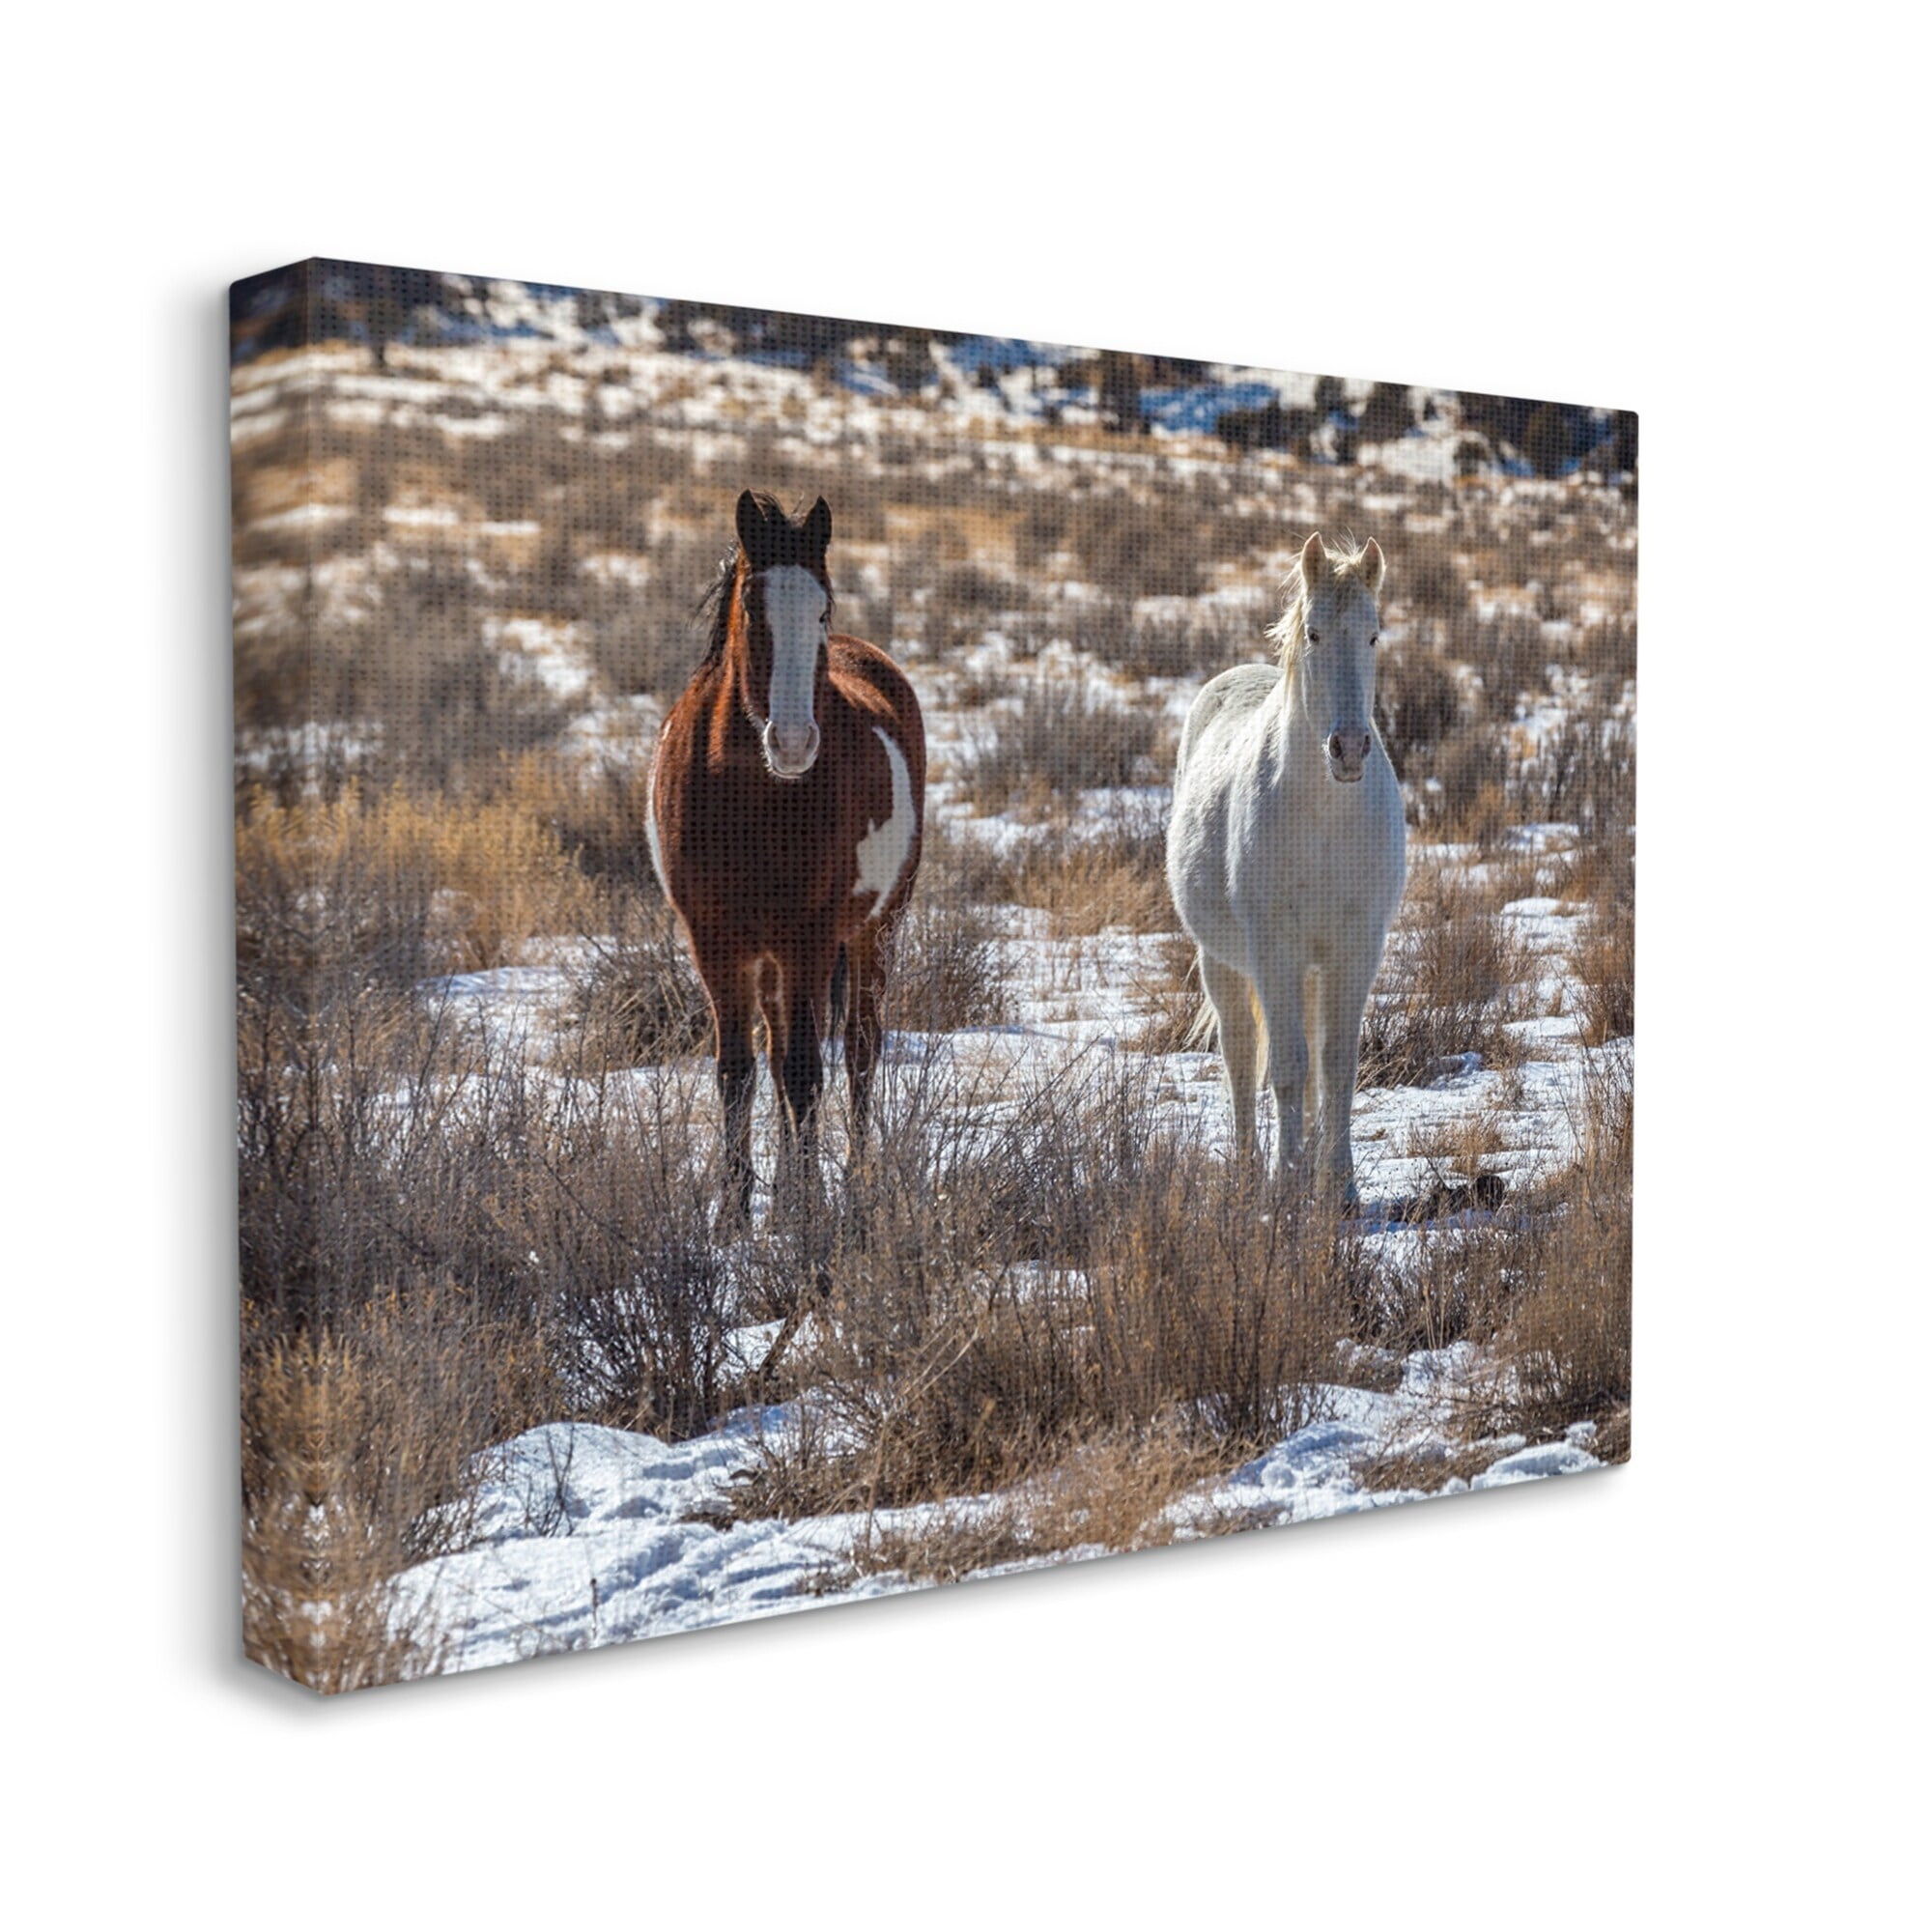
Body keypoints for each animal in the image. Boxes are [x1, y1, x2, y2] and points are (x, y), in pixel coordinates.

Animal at [649, 491, 926, 1224]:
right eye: (752, 606)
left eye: (823, 608)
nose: (795, 742)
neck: (752, 796)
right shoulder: (716, 943)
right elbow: (738, 1071)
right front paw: (734, 1213)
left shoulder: (809, 939)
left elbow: (806, 1071)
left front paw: (805, 1214)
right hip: (773, 958)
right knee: (777, 1055)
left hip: (873, 931)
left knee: (859, 1049)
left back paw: (852, 1180)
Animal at [1165, 532, 1406, 1204]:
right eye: (1315, 633)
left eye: (1373, 635)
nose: (1348, 749)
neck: (1323, 815)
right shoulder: (1274, 949)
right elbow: (1289, 1069)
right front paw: (1286, 1187)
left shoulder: (1356, 947)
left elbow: (1338, 1065)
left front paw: (1341, 1190)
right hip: (1224, 962)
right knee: (1242, 1056)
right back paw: (1252, 1172)